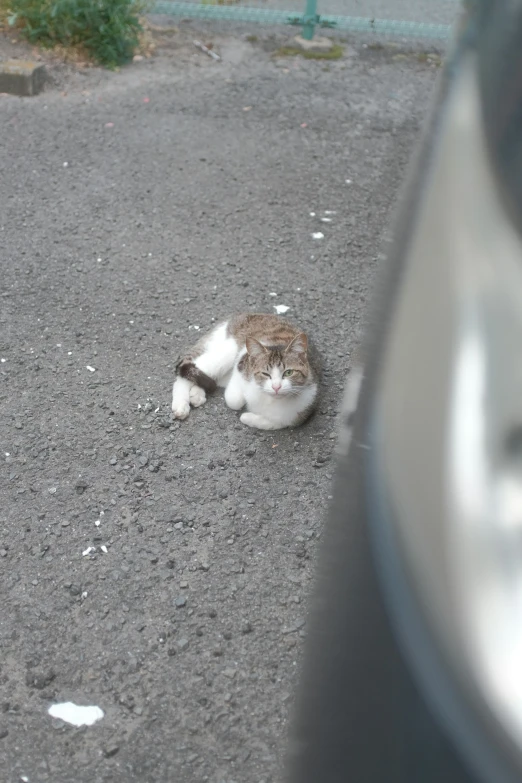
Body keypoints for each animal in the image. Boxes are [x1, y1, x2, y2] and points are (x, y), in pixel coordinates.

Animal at [171, 312, 318, 432]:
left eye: (288, 373)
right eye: (265, 374)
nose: (276, 387)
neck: (270, 400)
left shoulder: (296, 415)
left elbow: (274, 423)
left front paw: (248, 417)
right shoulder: (242, 361)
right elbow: (234, 400)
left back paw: (197, 393)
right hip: (227, 351)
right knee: (188, 371)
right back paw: (181, 405)